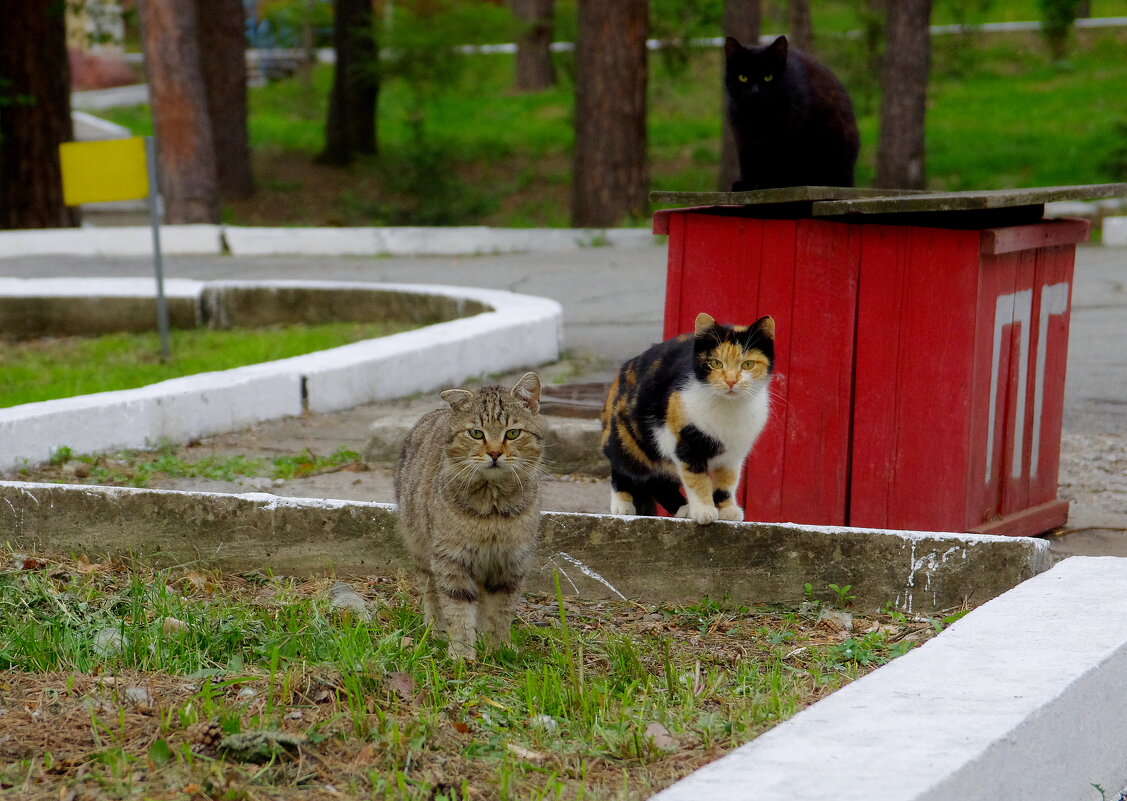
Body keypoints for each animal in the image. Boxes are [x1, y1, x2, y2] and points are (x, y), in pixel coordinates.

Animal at [394, 371, 543, 662]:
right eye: (476, 433)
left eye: (513, 433)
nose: (494, 453)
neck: (493, 509)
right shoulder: (451, 558)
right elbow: (458, 607)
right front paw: (462, 652)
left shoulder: (510, 562)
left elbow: (500, 611)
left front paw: (499, 647)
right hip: (420, 549)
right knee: (431, 592)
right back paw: (436, 631)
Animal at [599, 313, 775, 527]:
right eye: (715, 363)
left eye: (748, 364)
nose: (731, 381)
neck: (729, 408)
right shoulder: (684, 443)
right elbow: (696, 480)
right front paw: (704, 511)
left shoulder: (734, 455)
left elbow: (727, 481)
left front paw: (727, 509)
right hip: (628, 439)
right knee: (622, 466)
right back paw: (622, 504)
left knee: (658, 479)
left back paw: (682, 508)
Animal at [725, 35, 856, 191]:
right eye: (742, 77)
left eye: (768, 77)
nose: (755, 92)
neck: (760, 118)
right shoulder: (744, 138)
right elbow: (748, 160)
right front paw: (748, 184)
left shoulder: (790, 137)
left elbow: (782, 162)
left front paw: (771, 184)